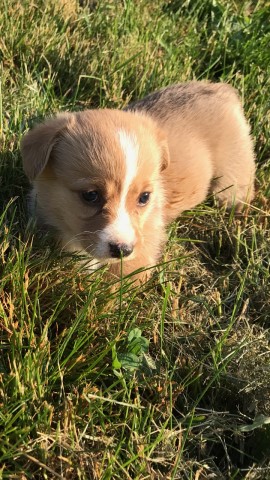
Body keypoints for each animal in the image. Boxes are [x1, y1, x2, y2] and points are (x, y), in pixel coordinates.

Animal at [21, 80, 255, 280]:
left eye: (144, 197)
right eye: (90, 195)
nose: (123, 250)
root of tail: (222, 90)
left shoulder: (141, 256)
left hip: (232, 177)